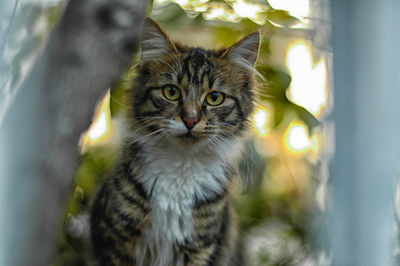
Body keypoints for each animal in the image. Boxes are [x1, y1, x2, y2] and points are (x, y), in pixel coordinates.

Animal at [90, 17, 260, 266]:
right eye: (171, 92)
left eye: (215, 98)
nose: (190, 120)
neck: (181, 166)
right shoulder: (116, 242)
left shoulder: (200, 249)